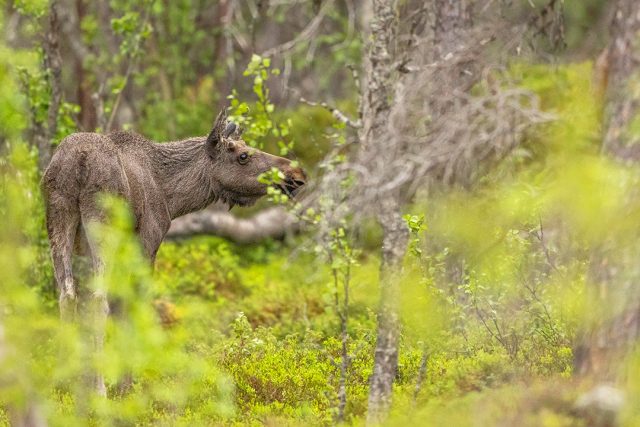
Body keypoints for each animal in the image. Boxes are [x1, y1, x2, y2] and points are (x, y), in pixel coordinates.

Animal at [41, 110, 306, 395]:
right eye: (243, 155)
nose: (297, 171)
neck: (172, 198)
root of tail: (78, 161)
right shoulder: (146, 244)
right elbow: (129, 310)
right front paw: (126, 386)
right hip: (103, 227)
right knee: (97, 301)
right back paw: (99, 389)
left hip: (59, 220)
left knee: (67, 296)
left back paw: (62, 384)